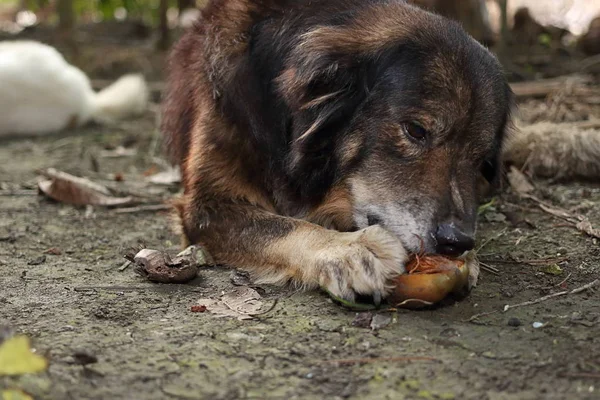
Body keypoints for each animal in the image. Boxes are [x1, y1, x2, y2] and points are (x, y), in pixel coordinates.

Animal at [162, 0, 512, 304]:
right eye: (415, 130)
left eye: (481, 159)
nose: (457, 242)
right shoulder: (205, 207)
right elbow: (280, 226)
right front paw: (349, 249)